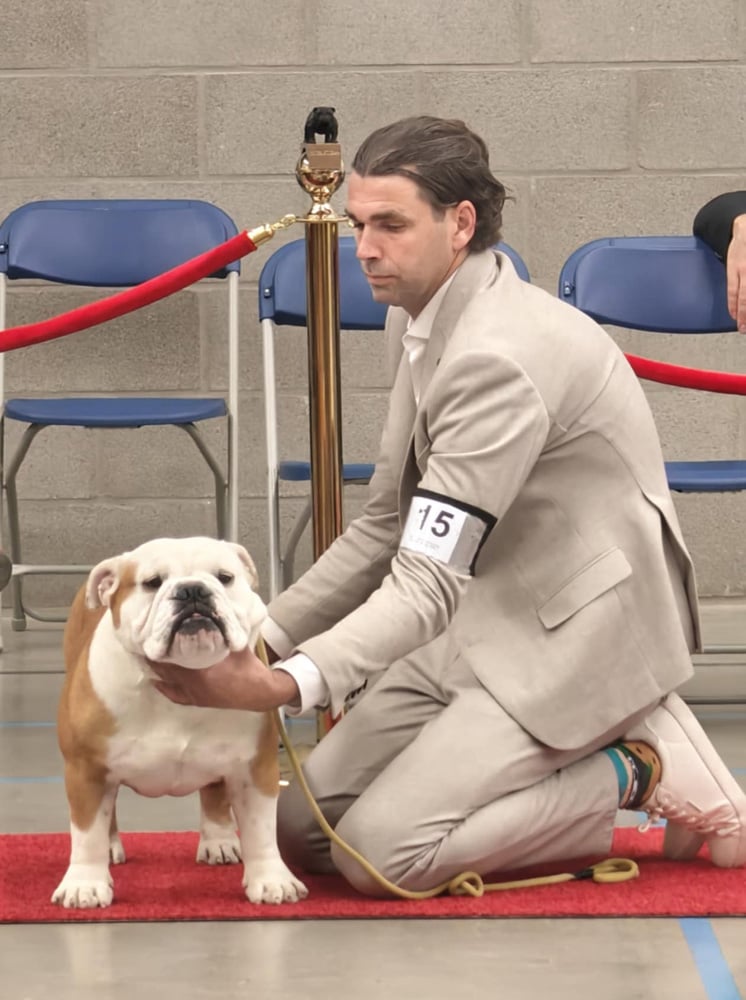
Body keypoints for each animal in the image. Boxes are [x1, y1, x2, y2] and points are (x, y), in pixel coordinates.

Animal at [52, 536, 308, 909]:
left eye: (225, 577)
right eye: (151, 582)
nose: (192, 590)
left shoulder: (254, 770)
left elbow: (261, 830)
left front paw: (272, 880)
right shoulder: (86, 770)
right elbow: (86, 834)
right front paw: (84, 885)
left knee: (215, 790)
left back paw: (219, 840)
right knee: (107, 815)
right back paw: (111, 846)